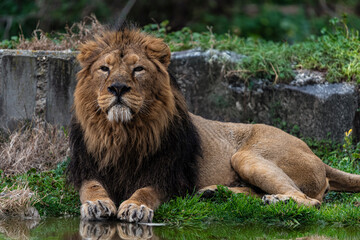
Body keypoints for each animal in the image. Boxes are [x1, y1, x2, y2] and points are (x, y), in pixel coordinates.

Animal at [67, 25, 360, 223]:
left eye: (138, 69)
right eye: (104, 69)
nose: (118, 87)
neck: (122, 133)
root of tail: (316, 156)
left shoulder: (169, 176)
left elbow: (146, 192)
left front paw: (136, 207)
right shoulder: (86, 168)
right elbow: (91, 187)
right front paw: (96, 204)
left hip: (246, 156)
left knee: (310, 201)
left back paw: (276, 200)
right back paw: (217, 194)